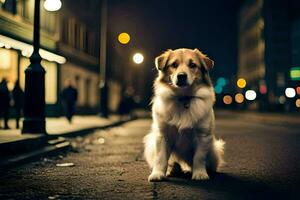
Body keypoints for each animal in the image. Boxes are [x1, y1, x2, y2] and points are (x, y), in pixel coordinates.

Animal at [144, 48, 225, 181]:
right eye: (174, 65)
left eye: (193, 65)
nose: (181, 76)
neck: (183, 98)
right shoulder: (162, 135)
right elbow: (161, 158)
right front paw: (158, 173)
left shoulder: (202, 136)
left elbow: (199, 158)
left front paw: (199, 173)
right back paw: (172, 169)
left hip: (214, 149)